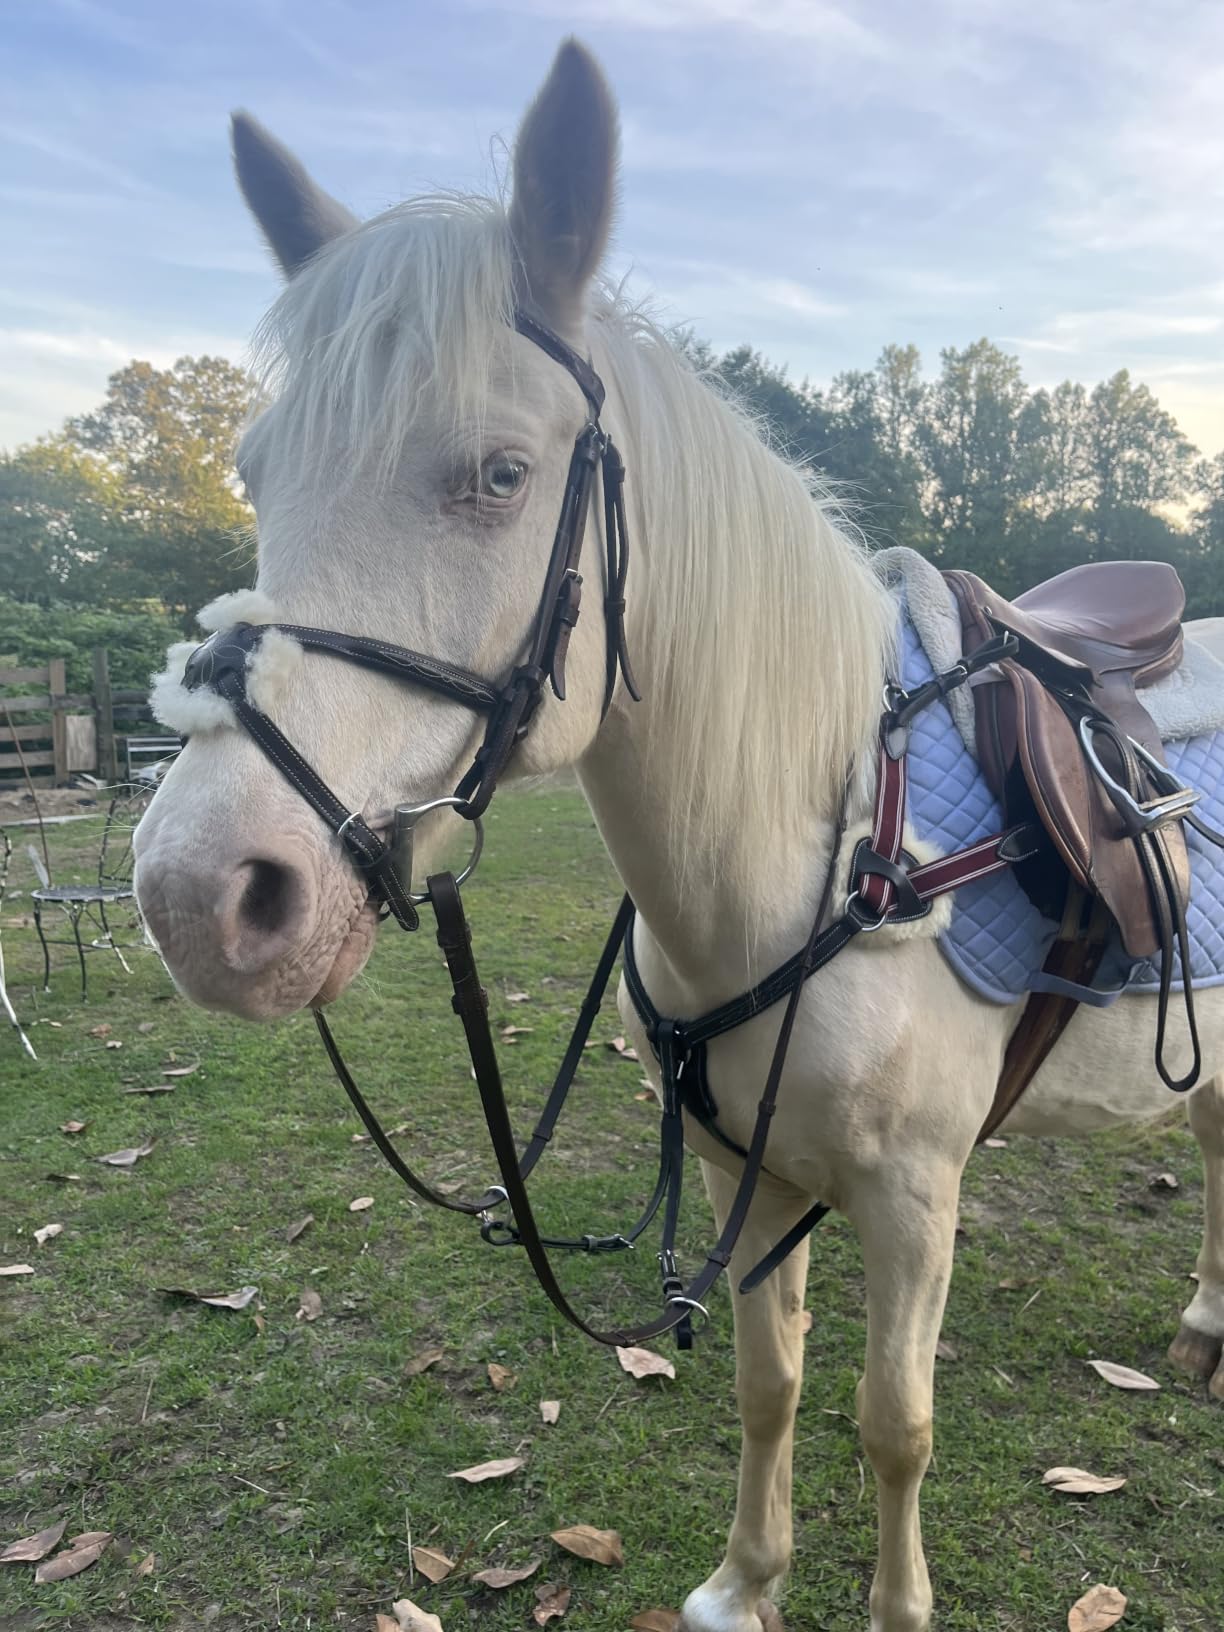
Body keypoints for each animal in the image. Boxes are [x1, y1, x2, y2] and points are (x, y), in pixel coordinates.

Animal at [132, 40, 1224, 1632]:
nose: (198, 895)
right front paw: (742, 1583)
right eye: (259, 470)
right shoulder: (738, 1171)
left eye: (500, 474)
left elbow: (894, 1425)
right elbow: (770, 1386)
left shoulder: (914, 1198)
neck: (818, 854)